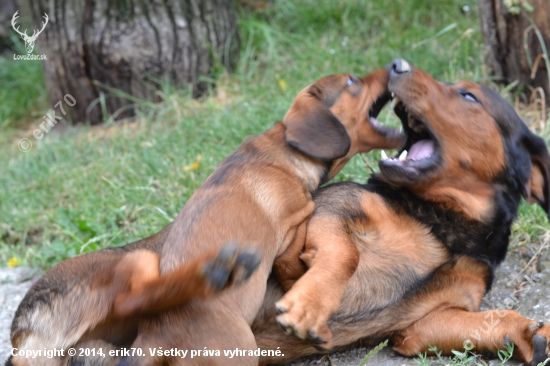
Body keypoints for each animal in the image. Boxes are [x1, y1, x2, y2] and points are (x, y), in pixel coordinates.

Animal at [9, 69, 406, 366]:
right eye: (352, 80)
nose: (396, 67)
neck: (285, 150)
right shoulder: (292, 226)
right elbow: (293, 263)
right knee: (131, 299)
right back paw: (218, 271)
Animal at [256, 60, 550, 366]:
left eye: (469, 96)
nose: (397, 64)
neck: (440, 220)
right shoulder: (334, 205)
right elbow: (346, 254)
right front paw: (309, 305)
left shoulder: (427, 322)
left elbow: (493, 318)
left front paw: (529, 333)